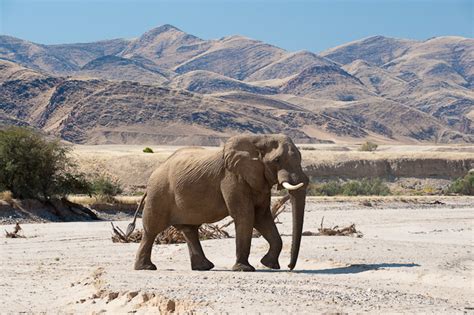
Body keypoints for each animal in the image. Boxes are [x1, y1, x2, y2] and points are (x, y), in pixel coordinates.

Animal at [134, 135, 312, 272]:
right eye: (276, 160)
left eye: (301, 158)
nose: (289, 267)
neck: (260, 139)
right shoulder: (231, 177)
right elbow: (245, 215)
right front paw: (244, 269)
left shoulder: (259, 181)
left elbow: (262, 216)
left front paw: (269, 265)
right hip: (159, 193)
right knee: (152, 229)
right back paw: (146, 267)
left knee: (189, 230)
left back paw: (204, 267)